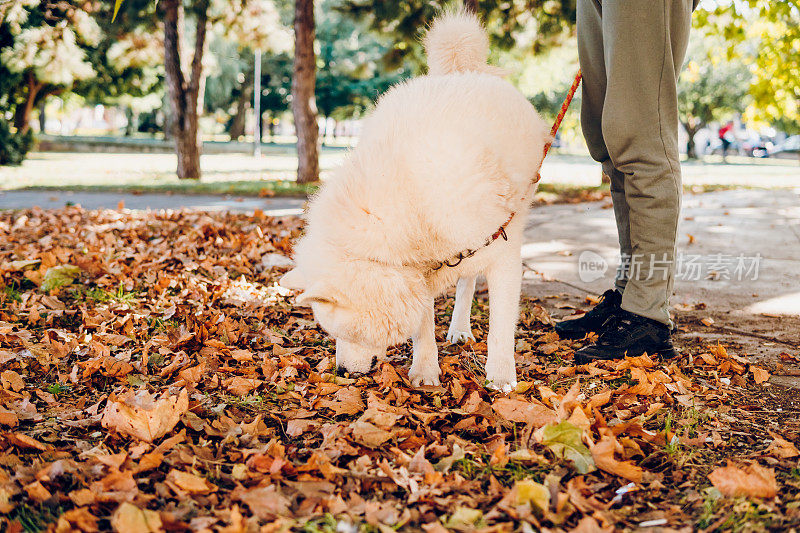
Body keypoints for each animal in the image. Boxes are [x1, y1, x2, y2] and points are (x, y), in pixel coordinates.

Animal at [282, 9, 552, 390]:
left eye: (345, 332)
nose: (342, 373)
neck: (407, 201)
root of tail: (460, 72)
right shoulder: (417, 274)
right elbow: (423, 330)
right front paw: (425, 372)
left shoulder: (501, 252)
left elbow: (501, 328)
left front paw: (500, 377)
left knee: (468, 284)